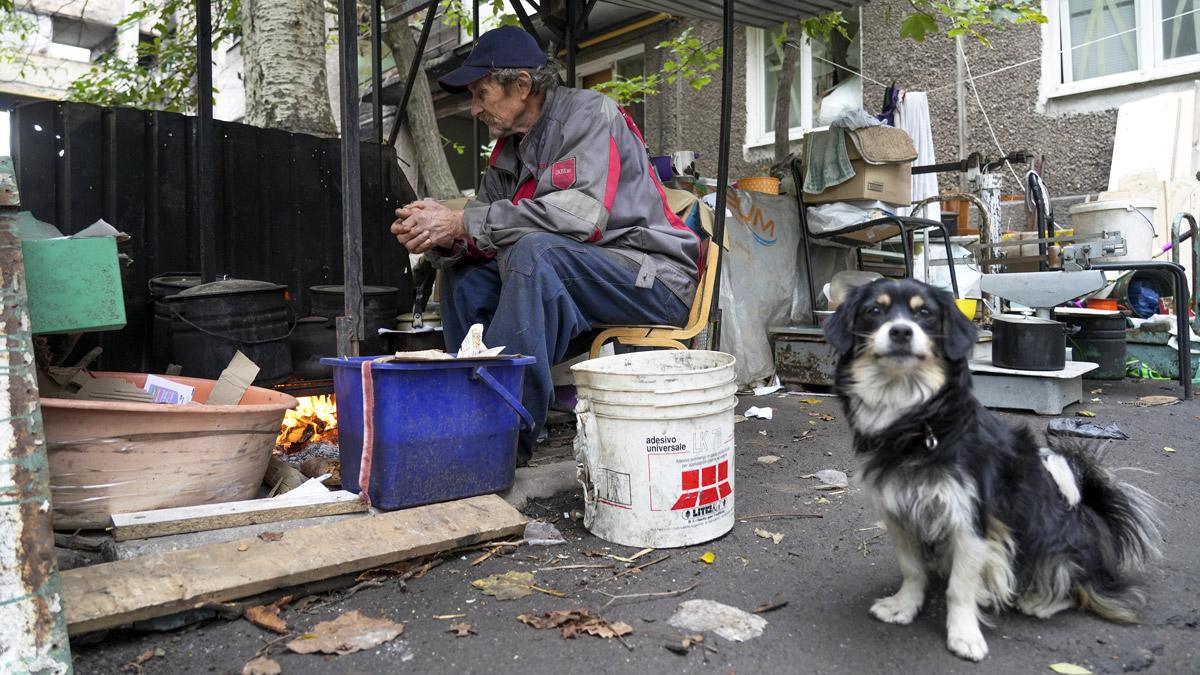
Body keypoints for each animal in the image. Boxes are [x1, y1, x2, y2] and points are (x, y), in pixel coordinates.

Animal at [825, 276, 1161, 658]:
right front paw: (904, 607)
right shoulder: (899, 512)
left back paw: (1039, 601)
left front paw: (963, 635)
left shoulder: (971, 519)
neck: (918, 422)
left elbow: (959, 587)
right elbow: (912, 570)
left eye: (925, 313)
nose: (900, 331)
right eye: (874, 311)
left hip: (1048, 534)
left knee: (1074, 586)